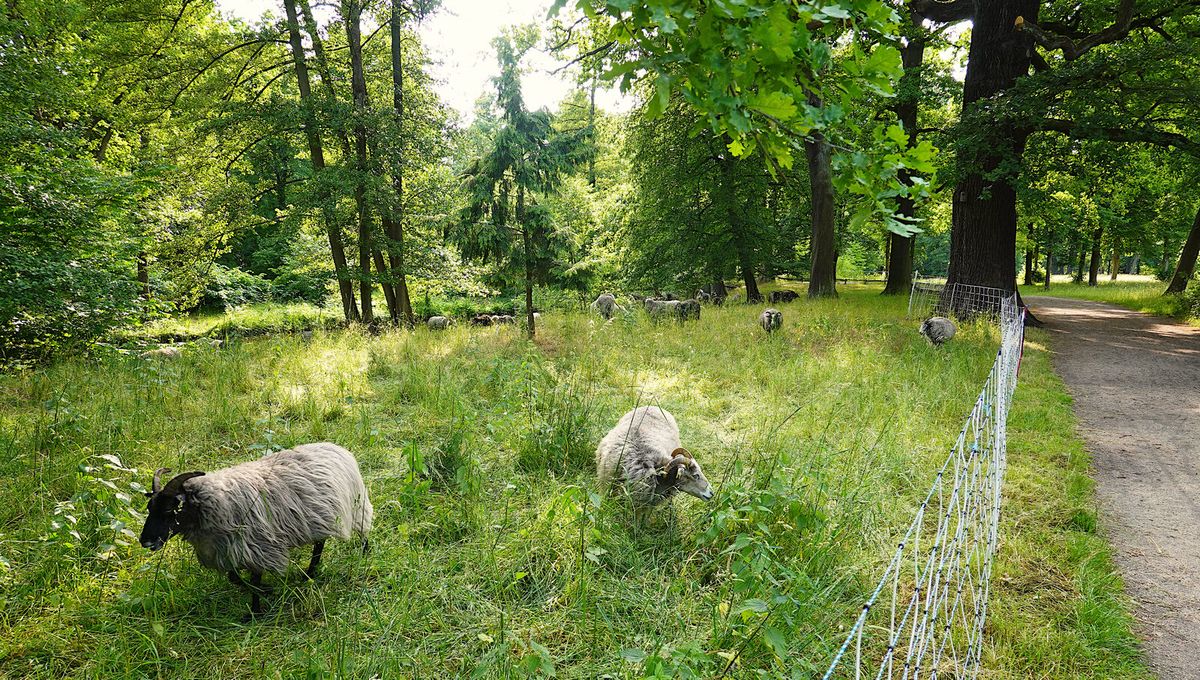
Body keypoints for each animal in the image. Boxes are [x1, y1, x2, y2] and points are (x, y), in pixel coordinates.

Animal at [139, 442, 373, 614]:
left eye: (169, 510)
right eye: (150, 508)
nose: (145, 541)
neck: (213, 502)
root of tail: (335, 447)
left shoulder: (259, 548)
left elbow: (254, 580)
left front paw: (256, 609)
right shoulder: (228, 550)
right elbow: (235, 578)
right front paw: (265, 592)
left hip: (356, 505)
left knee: (362, 531)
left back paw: (364, 552)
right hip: (319, 517)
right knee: (320, 543)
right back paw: (310, 572)